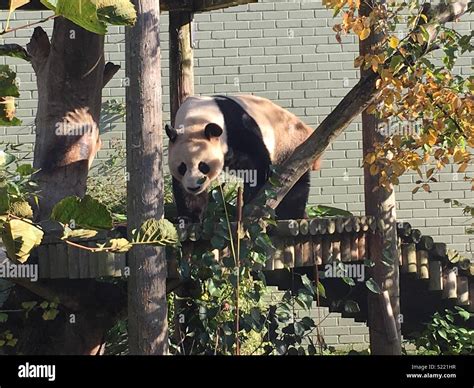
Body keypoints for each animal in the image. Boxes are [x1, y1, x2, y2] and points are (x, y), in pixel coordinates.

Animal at [165, 93, 320, 221]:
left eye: (203, 166)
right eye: (182, 168)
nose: (194, 187)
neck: (196, 120)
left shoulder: (235, 124)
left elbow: (257, 161)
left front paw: (254, 197)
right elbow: (182, 187)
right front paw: (189, 217)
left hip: (287, 147)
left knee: (293, 184)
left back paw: (290, 215)